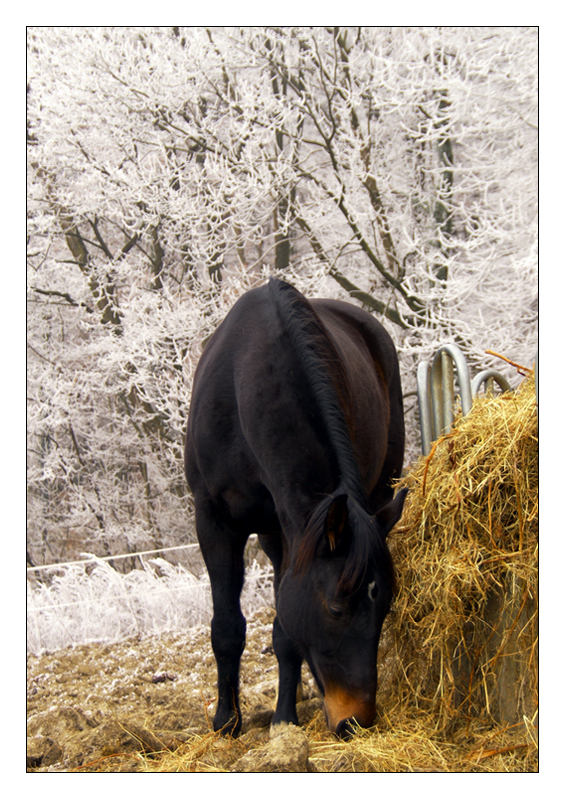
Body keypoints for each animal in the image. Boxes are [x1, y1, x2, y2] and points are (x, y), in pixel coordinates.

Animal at [186, 280, 408, 736]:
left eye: (385, 607)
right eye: (336, 607)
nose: (356, 721)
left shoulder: (295, 529)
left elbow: (285, 631)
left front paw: (284, 719)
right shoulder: (214, 521)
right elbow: (226, 627)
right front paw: (225, 722)